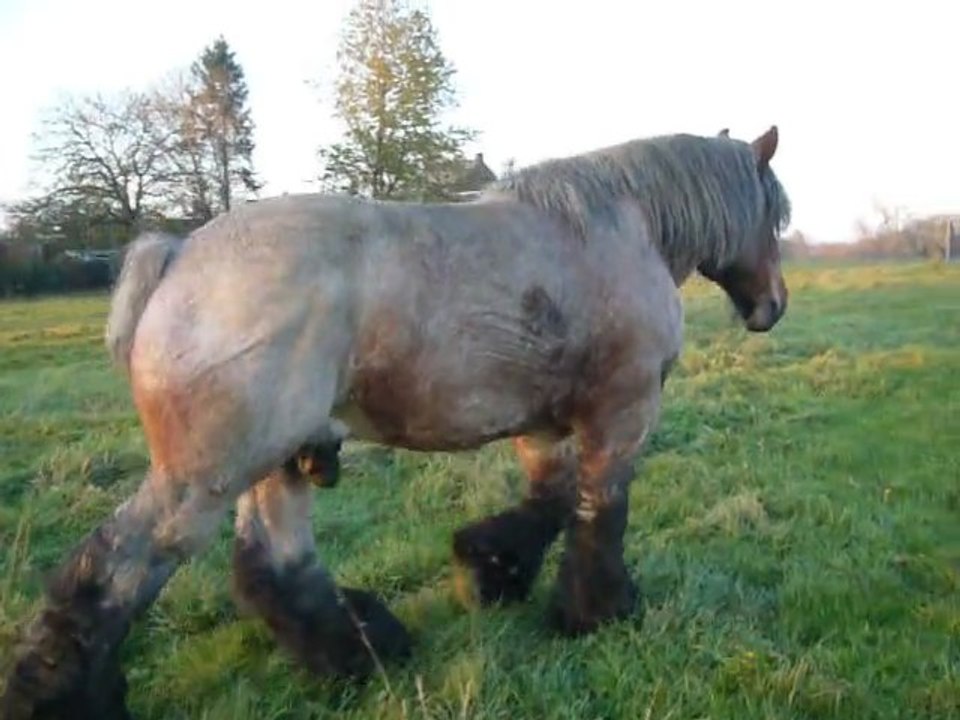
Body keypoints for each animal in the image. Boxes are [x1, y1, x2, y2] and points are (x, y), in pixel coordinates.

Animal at [1, 126, 790, 719]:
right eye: (775, 215)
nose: (772, 306)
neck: (616, 230)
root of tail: (176, 253)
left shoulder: (543, 425)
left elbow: (548, 502)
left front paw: (490, 568)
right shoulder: (621, 415)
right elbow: (600, 514)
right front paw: (598, 611)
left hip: (276, 460)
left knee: (274, 564)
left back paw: (356, 652)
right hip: (202, 479)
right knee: (111, 569)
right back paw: (61, 697)